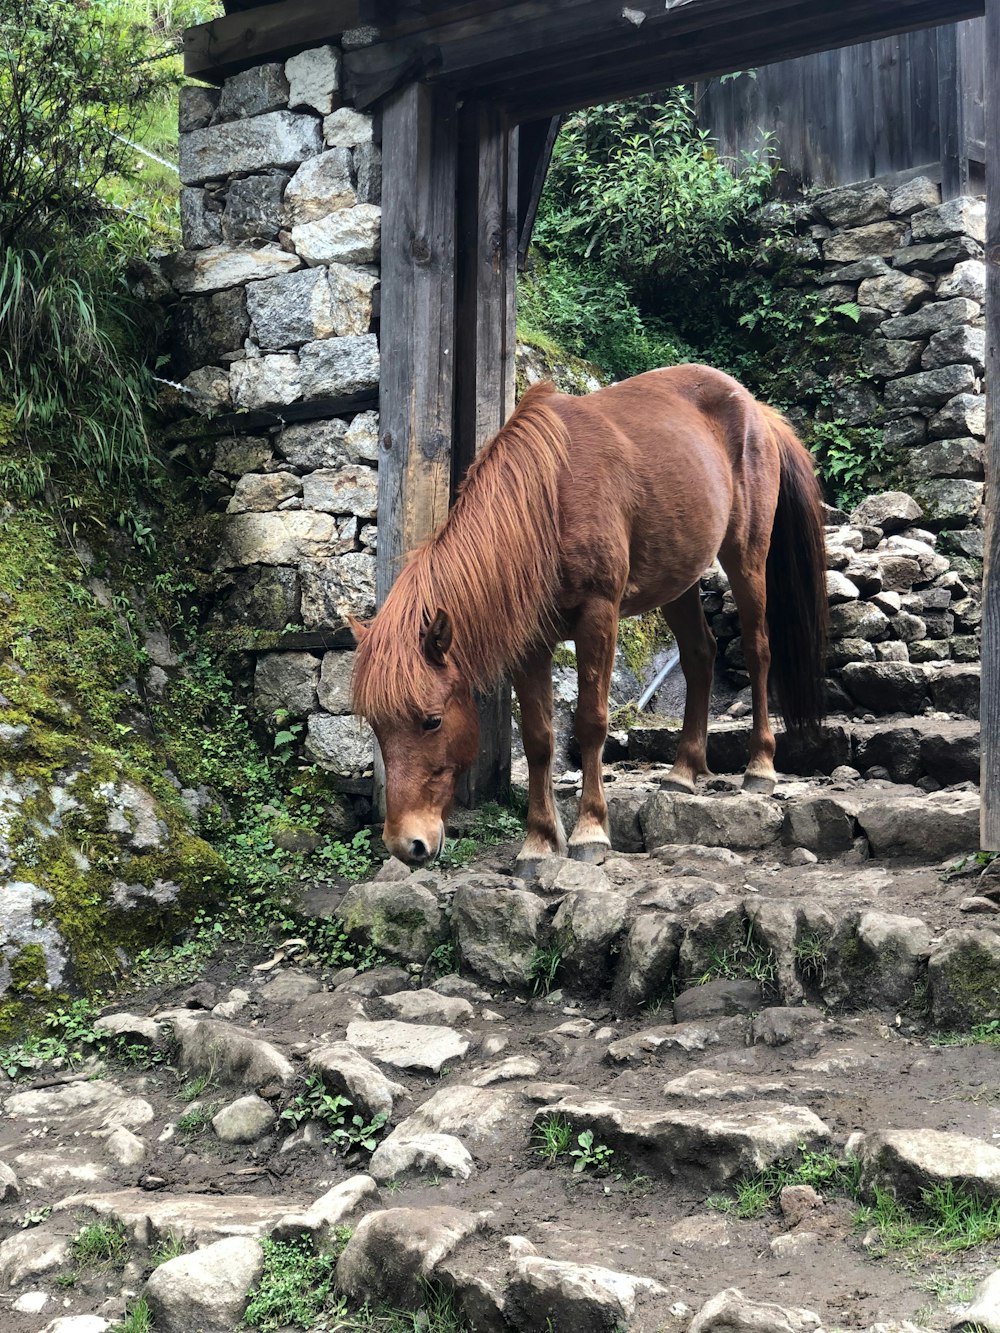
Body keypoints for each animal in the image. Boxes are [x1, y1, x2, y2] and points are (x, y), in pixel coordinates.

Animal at [352, 365, 832, 869]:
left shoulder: (598, 616)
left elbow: (590, 722)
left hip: (746, 556)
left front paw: (590, 832)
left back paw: (760, 767)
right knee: (701, 655)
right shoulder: (531, 641)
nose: (406, 845)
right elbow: (539, 738)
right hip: (678, 579)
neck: (548, 501)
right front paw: (539, 842)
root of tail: (757, 410)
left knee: (758, 651)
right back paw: (684, 770)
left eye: (432, 721)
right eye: (376, 725)